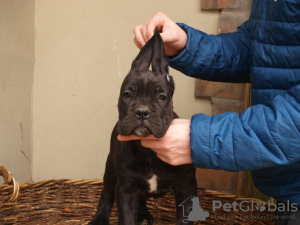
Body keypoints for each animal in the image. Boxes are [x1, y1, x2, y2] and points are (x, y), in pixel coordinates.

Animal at [89, 28, 197, 225]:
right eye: (127, 95)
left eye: (162, 97)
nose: (142, 112)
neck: (148, 151)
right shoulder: (126, 189)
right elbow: (126, 218)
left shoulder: (187, 188)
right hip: (110, 169)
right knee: (106, 193)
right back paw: (100, 218)